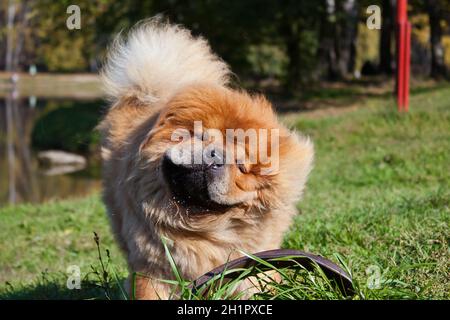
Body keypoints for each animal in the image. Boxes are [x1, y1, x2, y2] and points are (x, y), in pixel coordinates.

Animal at [99, 18, 312, 300]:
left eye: (242, 167)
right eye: (200, 136)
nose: (214, 157)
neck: (199, 227)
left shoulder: (249, 265)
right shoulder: (152, 269)